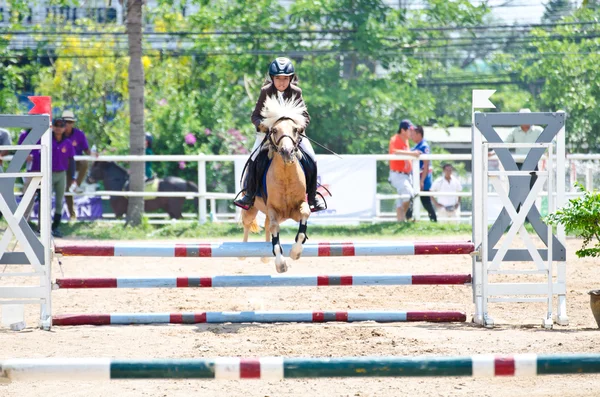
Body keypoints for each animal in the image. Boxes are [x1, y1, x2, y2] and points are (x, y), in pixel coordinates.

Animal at [241, 95, 312, 272]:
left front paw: (295, 252)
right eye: (273, 130)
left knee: (266, 225)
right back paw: (242, 252)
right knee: (248, 223)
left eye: (295, 130)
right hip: (251, 207)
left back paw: (265, 257)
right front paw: (280, 263)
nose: (287, 152)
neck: (286, 177)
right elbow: (274, 228)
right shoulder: (273, 210)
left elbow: (305, 216)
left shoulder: (297, 208)